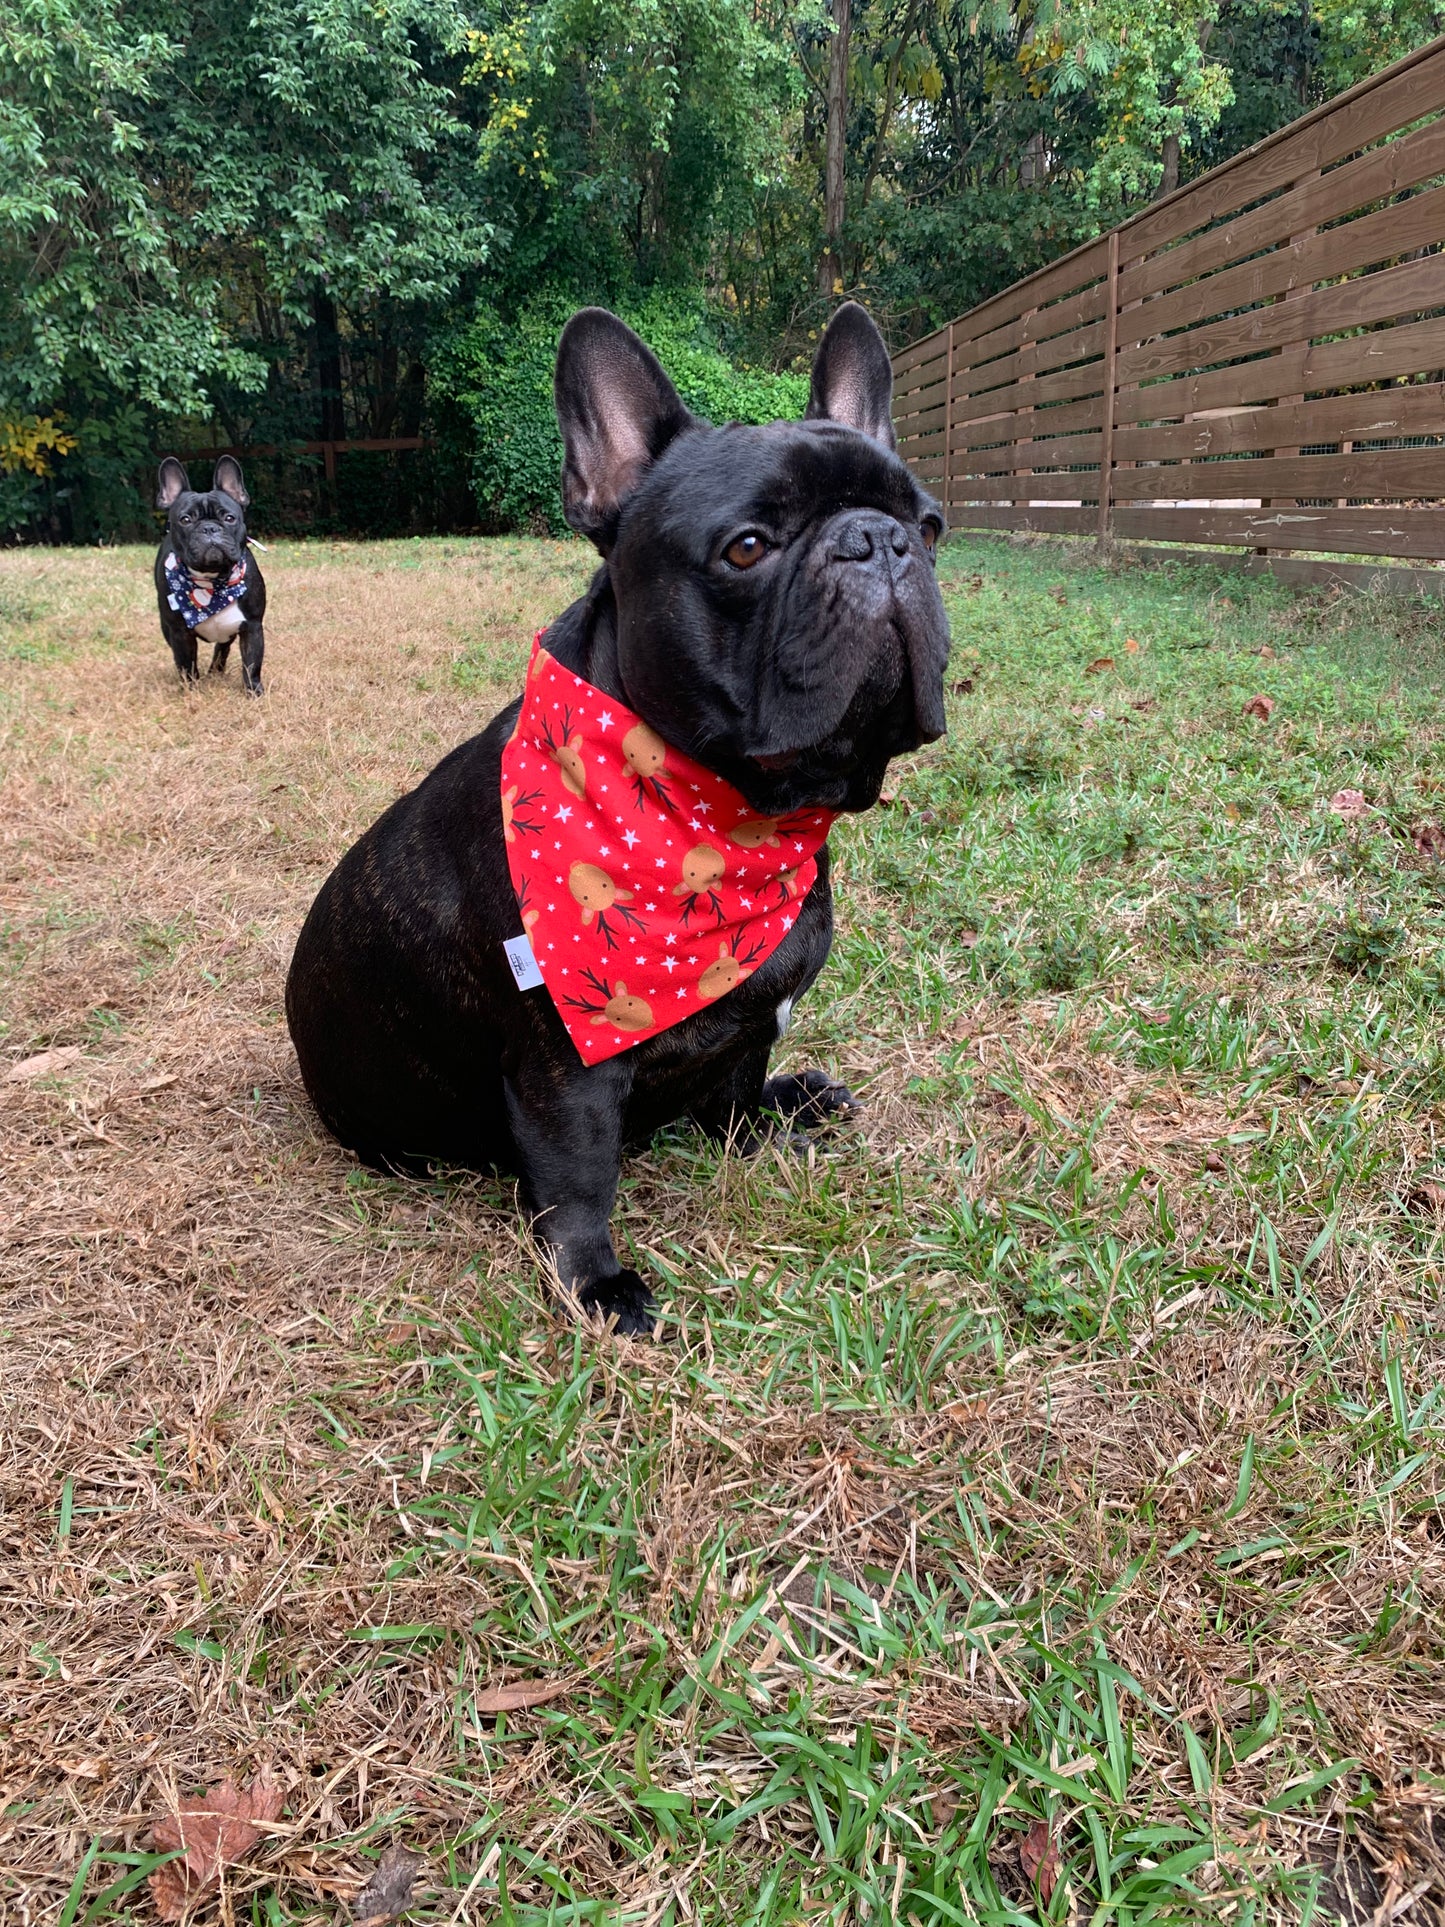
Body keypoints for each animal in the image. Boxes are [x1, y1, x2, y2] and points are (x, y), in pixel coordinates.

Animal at [154, 454, 267, 697]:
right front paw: (192, 692)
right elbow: (186, 664)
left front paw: (254, 692)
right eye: (185, 520)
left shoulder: (252, 626)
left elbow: (252, 663)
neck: (213, 582)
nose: (209, 528)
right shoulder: (179, 633)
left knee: (222, 647)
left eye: (229, 518)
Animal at [289, 300, 955, 1333]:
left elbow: (735, 1088)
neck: (725, 826)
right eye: (746, 547)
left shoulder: (748, 1022)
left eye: (928, 528)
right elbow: (577, 1176)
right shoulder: (566, 1070)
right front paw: (597, 1282)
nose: (878, 542)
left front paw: (762, 1127)